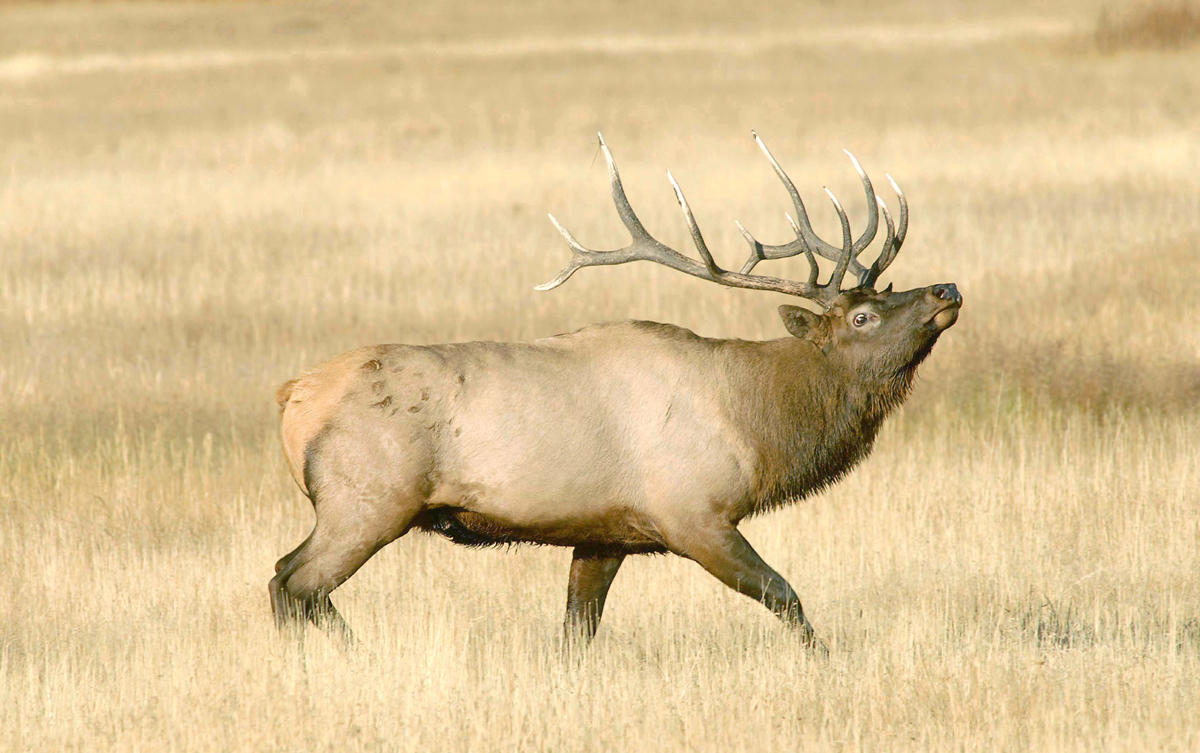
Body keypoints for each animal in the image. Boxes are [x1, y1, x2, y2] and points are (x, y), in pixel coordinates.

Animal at [269, 133, 961, 652]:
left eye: (889, 289)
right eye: (861, 317)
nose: (946, 289)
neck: (758, 422)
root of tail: (294, 395)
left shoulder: (605, 532)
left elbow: (577, 632)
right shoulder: (693, 512)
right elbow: (784, 594)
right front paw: (826, 662)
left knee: (288, 577)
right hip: (367, 499)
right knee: (294, 583)